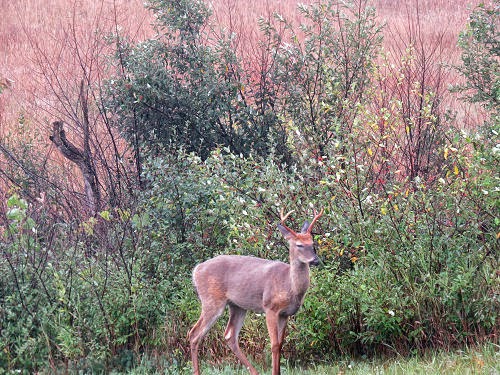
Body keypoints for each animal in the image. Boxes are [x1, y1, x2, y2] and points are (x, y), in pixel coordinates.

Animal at [188, 209, 324, 375]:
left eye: (312, 243)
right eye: (299, 245)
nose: (315, 260)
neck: (289, 286)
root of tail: (196, 270)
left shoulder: (285, 314)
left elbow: (280, 343)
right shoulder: (270, 307)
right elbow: (274, 344)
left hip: (237, 306)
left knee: (229, 335)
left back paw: (254, 372)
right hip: (211, 300)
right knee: (194, 334)